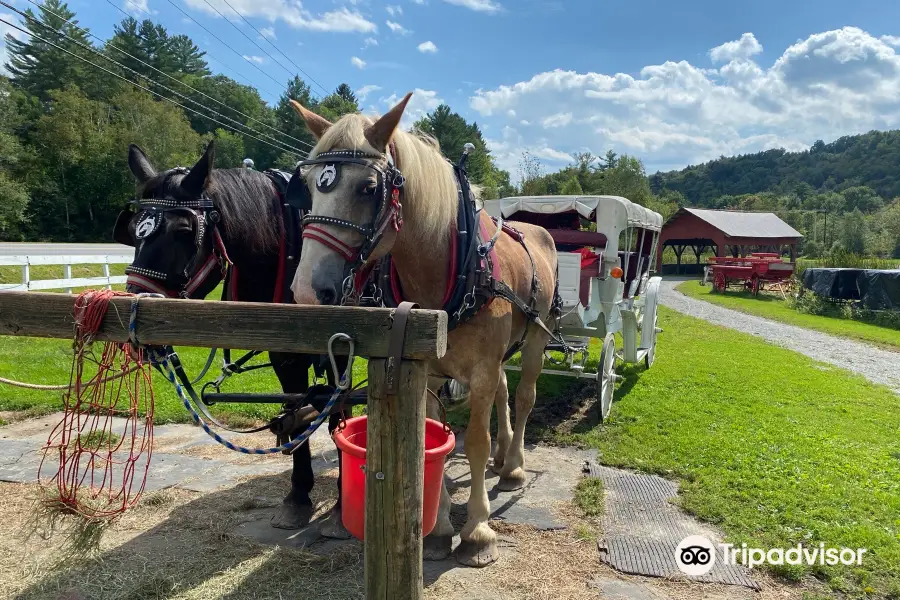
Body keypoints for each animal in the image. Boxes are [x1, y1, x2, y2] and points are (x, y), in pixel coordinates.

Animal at [114, 142, 350, 536]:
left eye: (183, 230)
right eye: (134, 231)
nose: (136, 326)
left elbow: (339, 415)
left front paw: (342, 505)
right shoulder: (285, 353)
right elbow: (296, 413)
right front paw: (298, 496)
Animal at [290, 94, 556, 568]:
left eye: (368, 188)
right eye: (310, 187)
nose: (306, 289)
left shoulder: (481, 370)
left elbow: (473, 442)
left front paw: (477, 531)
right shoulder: (427, 368)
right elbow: (436, 440)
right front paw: (439, 532)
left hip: (537, 340)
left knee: (524, 395)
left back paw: (513, 465)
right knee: (506, 391)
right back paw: (504, 456)